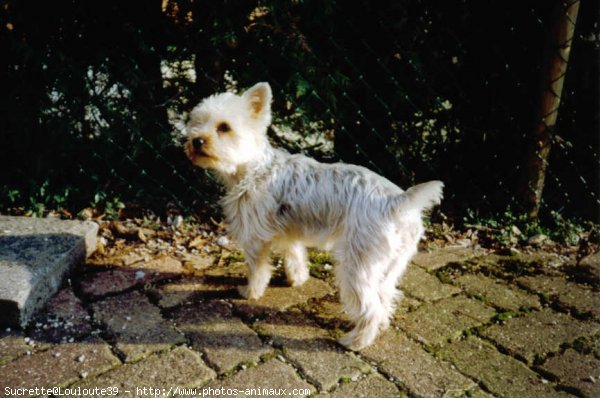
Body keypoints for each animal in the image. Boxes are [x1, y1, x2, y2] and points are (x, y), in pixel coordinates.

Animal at [183, 82, 440, 350]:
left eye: (224, 127)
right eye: (196, 122)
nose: (196, 141)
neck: (254, 167)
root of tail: (397, 202)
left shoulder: (254, 237)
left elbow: (258, 268)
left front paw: (251, 292)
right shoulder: (288, 231)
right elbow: (294, 255)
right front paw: (297, 279)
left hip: (357, 265)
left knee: (371, 307)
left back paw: (356, 341)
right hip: (390, 265)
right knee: (385, 296)